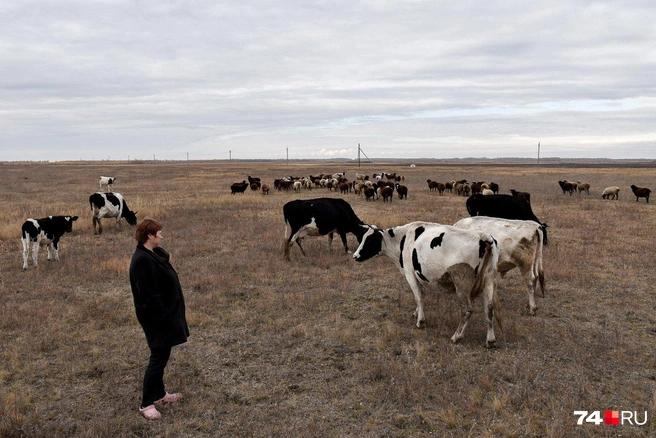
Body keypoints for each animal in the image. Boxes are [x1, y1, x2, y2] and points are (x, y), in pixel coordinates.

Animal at [356, 222, 500, 350]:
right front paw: (416, 313)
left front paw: (421, 321)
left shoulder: (410, 274)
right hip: (489, 279)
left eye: (369, 240)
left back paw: (456, 336)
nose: (355, 256)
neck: (404, 237)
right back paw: (491, 340)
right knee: (489, 307)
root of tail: (483, 237)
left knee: (467, 310)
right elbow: (421, 295)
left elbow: (418, 297)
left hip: (462, 284)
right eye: (362, 238)